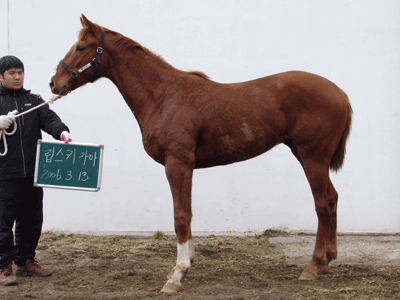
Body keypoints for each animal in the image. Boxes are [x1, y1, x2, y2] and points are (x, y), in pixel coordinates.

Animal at [48, 15, 352, 292]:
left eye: (80, 47)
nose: (54, 82)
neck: (163, 96)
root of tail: (340, 92)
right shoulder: (186, 166)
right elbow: (189, 212)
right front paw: (186, 264)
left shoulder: (177, 163)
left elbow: (180, 216)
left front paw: (177, 275)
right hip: (305, 155)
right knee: (333, 198)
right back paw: (328, 260)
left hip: (313, 158)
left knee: (323, 204)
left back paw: (312, 267)